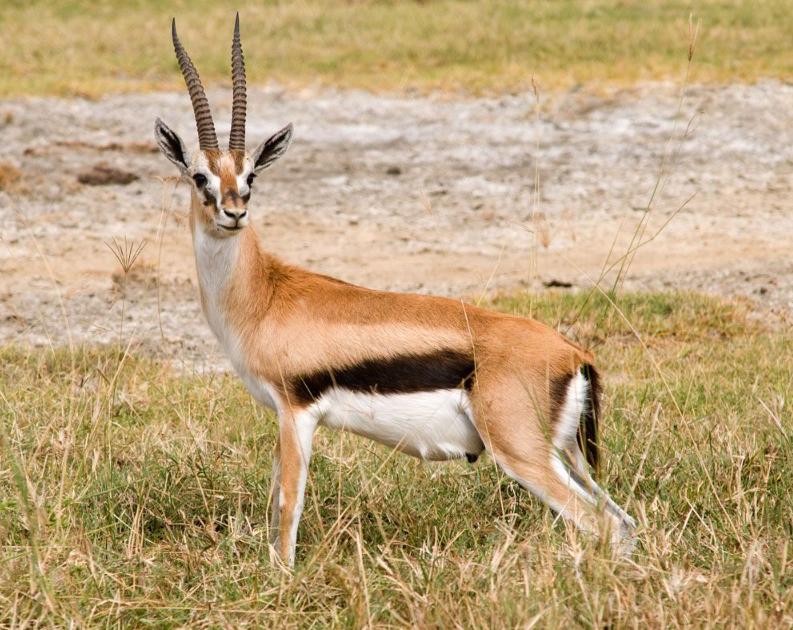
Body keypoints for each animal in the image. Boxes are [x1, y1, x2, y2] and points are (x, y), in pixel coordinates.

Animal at [154, 14, 636, 567]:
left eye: (251, 174)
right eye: (200, 177)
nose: (235, 213)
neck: (264, 295)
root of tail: (574, 353)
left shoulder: (296, 413)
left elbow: (287, 506)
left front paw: (283, 576)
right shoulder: (280, 416)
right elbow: (275, 496)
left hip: (523, 455)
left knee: (601, 524)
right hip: (568, 455)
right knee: (625, 522)